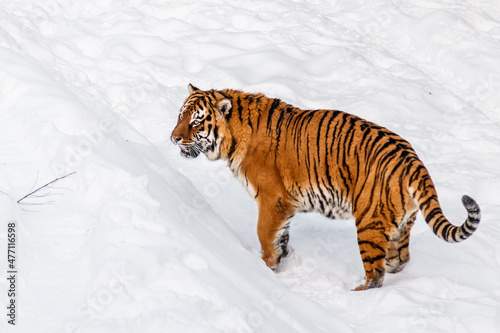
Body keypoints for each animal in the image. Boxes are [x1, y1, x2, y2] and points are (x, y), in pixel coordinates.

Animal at [171, 84, 480, 290]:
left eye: (196, 122)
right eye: (180, 116)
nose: (173, 138)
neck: (234, 136)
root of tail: (413, 161)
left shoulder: (272, 199)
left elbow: (264, 234)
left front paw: (266, 266)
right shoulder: (285, 206)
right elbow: (281, 236)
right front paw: (280, 259)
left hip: (368, 223)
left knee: (376, 273)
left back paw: (357, 292)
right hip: (401, 224)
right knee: (399, 260)